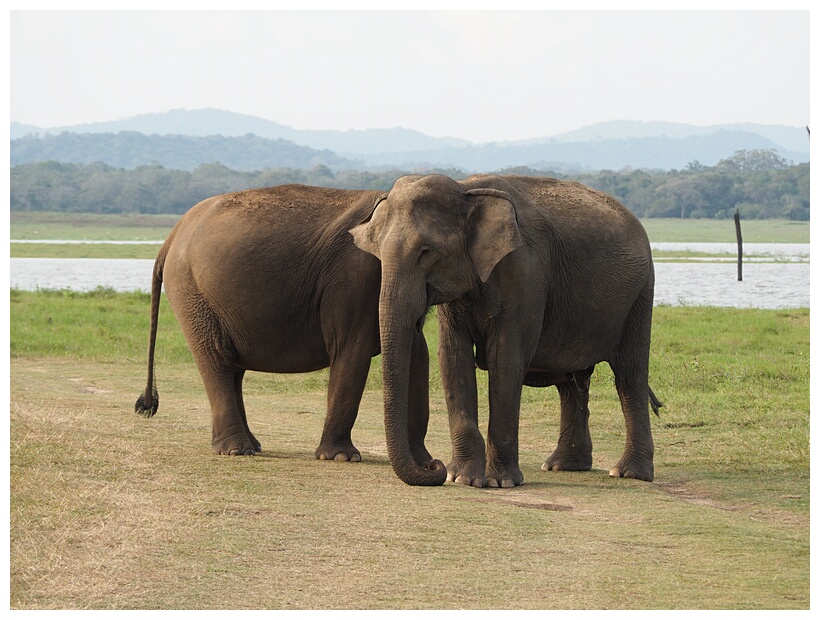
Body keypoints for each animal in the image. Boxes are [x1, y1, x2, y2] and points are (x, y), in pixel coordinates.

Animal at [135, 182, 446, 486]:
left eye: (428, 255)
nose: (435, 465)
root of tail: (170, 237)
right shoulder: (353, 279)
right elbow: (351, 351)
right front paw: (341, 458)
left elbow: (417, 352)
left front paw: (424, 460)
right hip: (191, 293)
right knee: (215, 360)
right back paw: (236, 450)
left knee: (231, 367)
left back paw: (250, 446)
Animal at [350, 174, 656, 490]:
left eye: (426, 252)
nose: (434, 465)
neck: (466, 191)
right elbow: (452, 358)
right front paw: (463, 478)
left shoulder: (524, 272)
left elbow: (506, 359)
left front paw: (501, 482)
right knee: (572, 383)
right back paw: (562, 466)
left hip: (641, 295)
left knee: (629, 376)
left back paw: (628, 473)